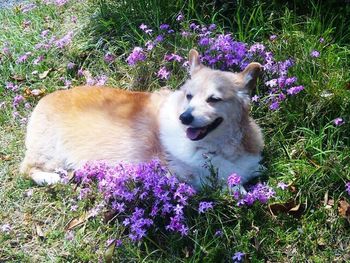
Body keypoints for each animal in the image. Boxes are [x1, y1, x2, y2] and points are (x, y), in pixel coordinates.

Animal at [20, 49, 264, 190]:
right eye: (189, 96)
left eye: (214, 99)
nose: (184, 118)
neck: (219, 147)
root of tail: (44, 99)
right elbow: (231, 186)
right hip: (50, 153)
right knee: (26, 169)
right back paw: (51, 179)